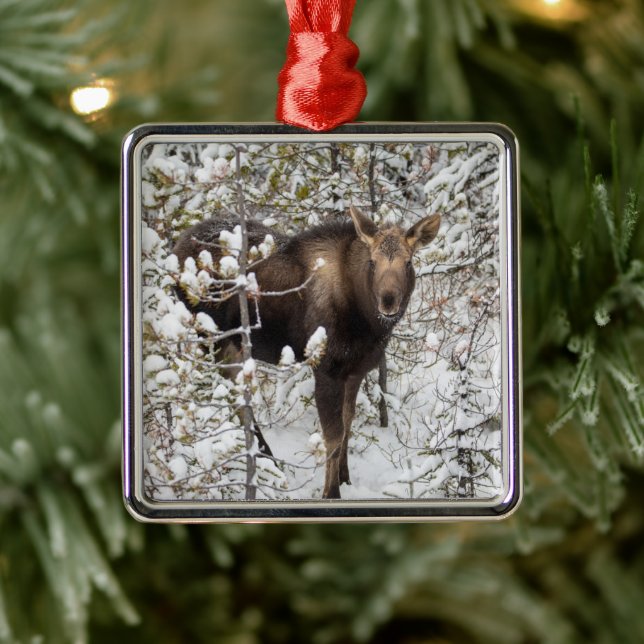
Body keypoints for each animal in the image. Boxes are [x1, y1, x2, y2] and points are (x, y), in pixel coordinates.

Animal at [173, 206, 441, 498]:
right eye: (372, 262)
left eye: (408, 262)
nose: (388, 302)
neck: (366, 323)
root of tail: (175, 249)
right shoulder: (326, 369)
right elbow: (333, 436)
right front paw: (330, 493)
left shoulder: (355, 371)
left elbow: (347, 425)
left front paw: (345, 478)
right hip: (215, 339)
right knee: (235, 401)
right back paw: (266, 460)